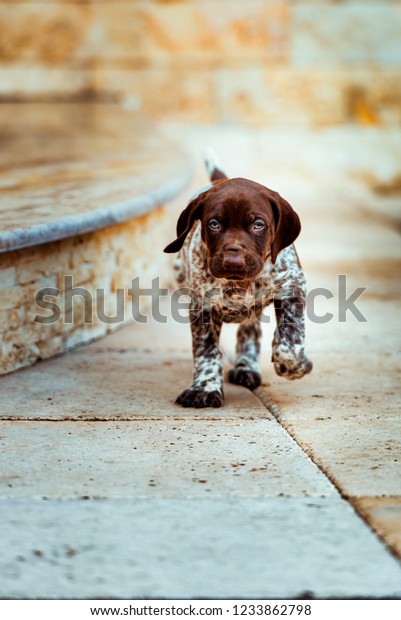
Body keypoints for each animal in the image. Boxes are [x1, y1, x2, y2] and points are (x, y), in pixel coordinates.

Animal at [163, 153, 312, 410]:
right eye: (214, 224)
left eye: (258, 224)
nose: (233, 262)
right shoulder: (201, 306)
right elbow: (207, 351)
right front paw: (205, 387)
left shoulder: (293, 286)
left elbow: (289, 342)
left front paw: (294, 366)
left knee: (250, 328)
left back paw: (246, 365)